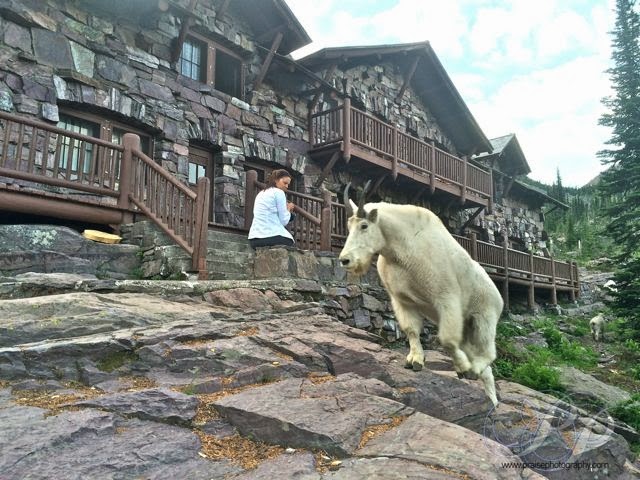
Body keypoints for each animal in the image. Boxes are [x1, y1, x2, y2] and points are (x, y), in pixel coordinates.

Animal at [338, 184, 504, 406]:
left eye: (364, 226)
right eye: (349, 226)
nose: (345, 260)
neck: (402, 247)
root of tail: (499, 297)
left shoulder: (446, 299)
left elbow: (447, 340)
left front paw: (462, 367)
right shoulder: (402, 300)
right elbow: (411, 330)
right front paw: (415, 361)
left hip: (484, 317)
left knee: (488, 352)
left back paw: (473, 371)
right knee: (488, 371)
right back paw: (491, 401)